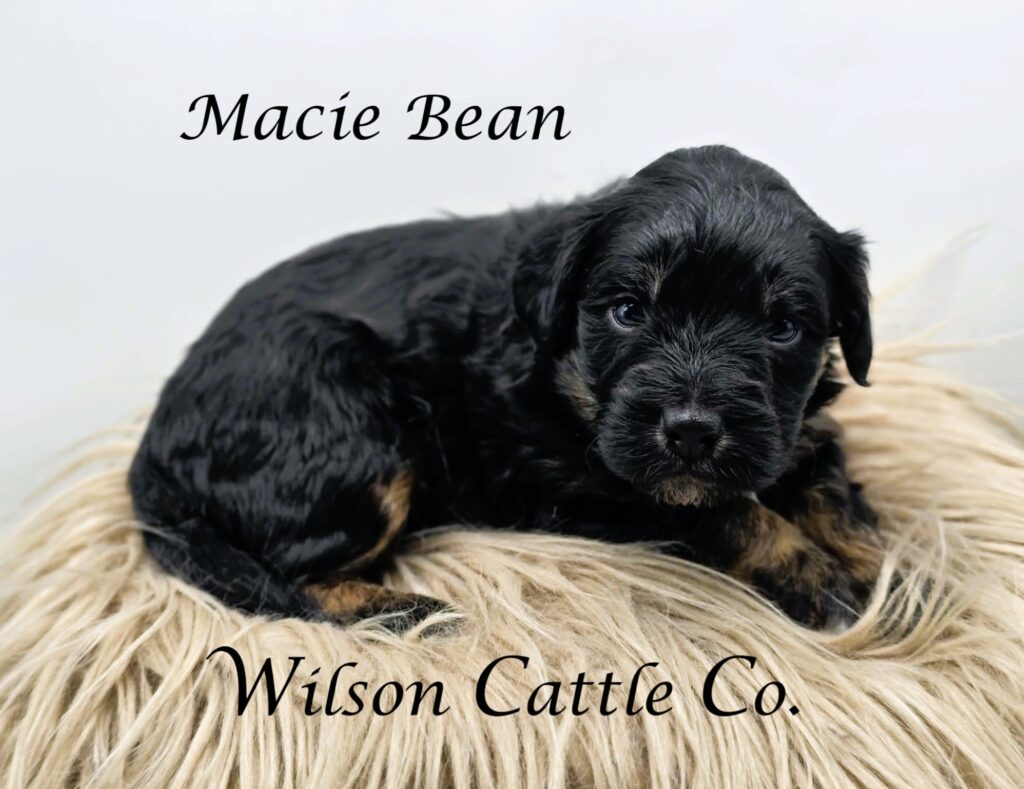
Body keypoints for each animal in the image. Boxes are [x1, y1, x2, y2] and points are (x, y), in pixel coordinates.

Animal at [130, 145, 882, 632]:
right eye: (628, 311)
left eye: (782, 328)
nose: (693, 430)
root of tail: (154, 446)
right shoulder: (580, 494)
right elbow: (722, 512)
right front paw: (811, 571)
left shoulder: (787, 425)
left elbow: (826, 473)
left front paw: (877, 563)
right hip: (350, 435)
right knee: (290, 579)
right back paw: (402, 611)